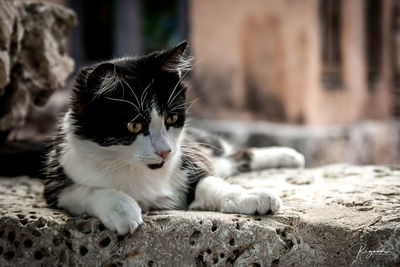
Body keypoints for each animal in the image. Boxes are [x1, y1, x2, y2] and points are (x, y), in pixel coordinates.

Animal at [43, 41, 304, 234]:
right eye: (134, 125)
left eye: (172, 118)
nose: (166, 151)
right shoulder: (57, 179)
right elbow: (84, 191)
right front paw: (121, 208)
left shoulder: (188, 161)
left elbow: (209, 183)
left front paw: (250, 195)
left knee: (233, 155)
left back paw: (290, 155)